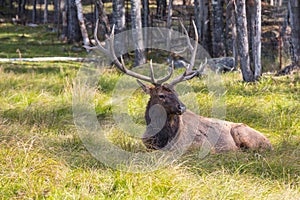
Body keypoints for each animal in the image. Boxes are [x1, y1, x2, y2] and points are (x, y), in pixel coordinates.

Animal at [86, 19, 272, 152]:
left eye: (176, 92)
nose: (182, 107)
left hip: (243, 133)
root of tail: (270, 142)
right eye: (161, 95)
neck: (162, 138)